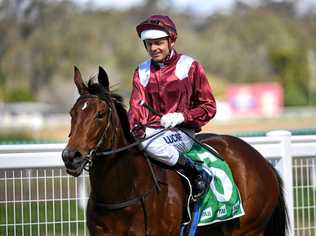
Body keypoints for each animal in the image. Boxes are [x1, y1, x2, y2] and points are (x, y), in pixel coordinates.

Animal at [61, 66, 288, 236]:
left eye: (100, 114)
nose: (71, 157)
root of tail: (262, 160)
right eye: (72, 113)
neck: (123, 195)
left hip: (248, 229)